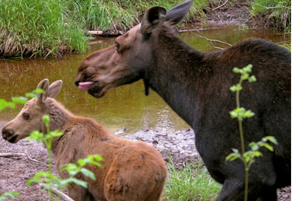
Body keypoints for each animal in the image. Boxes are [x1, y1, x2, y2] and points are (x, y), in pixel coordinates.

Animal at [1, 78, 167, 201]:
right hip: (153, 196)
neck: (56, 143)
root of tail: (160, 173)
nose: (5, 131)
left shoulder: (74, 181)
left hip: (120, 192)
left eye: (26, 115)